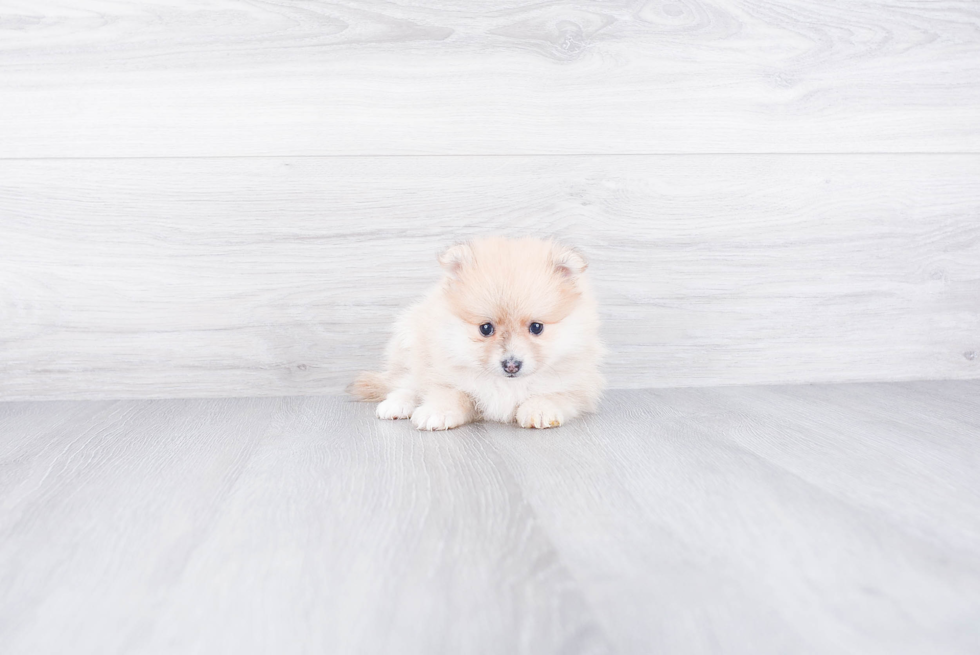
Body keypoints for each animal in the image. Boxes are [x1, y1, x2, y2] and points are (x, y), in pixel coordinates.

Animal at [348, 236, 600, 430]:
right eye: (486, 328)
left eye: (536, 327)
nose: (511, 365)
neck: (505, 385)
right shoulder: (442, 373)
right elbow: (452, 393)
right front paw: (437, 412)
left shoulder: (579, 385)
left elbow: (557, 394)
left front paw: (539, 409)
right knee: (405, 382)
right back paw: (397, 404)